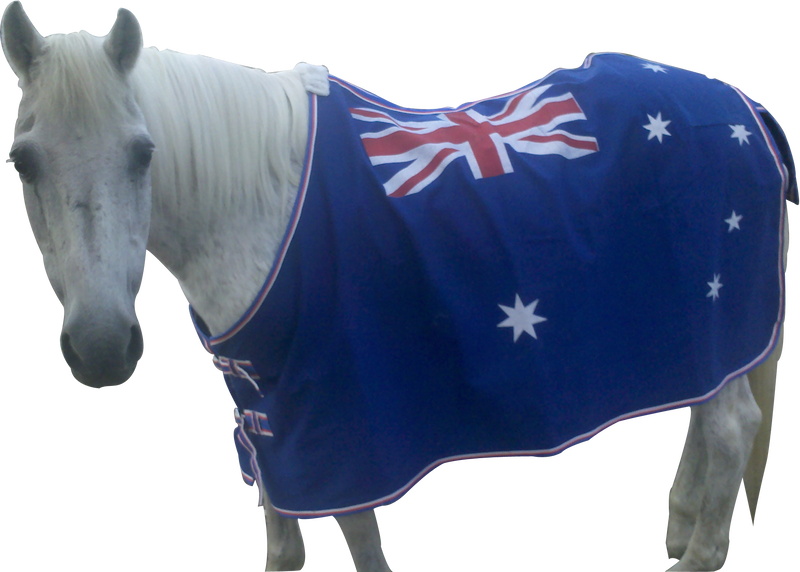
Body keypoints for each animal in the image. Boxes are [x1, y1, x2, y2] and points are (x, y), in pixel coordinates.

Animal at [2, 3, 793, 571]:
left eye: (143, 154)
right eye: (22, 162)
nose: (102, 347)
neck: (260, 207)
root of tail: (744, 107)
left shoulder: (345, 434)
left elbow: (361, 542)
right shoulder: (266, 428)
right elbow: (283, 544)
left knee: (731, 430)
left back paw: (698, 556)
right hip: (699, 329)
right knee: (706, 416)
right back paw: (680, 529)